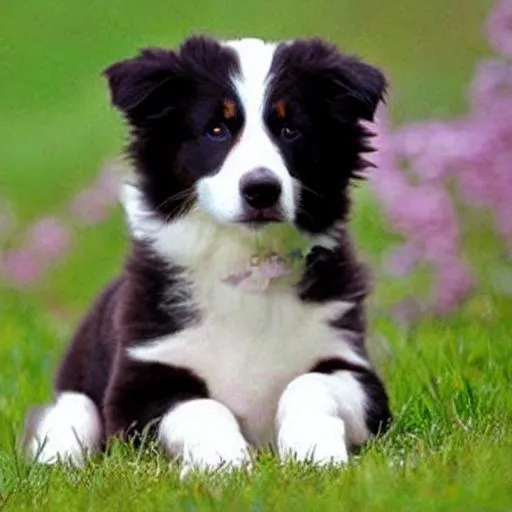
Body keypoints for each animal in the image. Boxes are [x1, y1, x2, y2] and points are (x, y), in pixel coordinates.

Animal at [25, 36, 392, 474]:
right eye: (216, 130)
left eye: (291, 129)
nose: (261, 189)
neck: (246, 264)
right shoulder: (139, 389)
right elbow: (202, 408)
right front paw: (226, 463)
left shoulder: (355, 368)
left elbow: (307, 383)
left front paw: (314, 452)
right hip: (73, 399)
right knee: (69, 419)